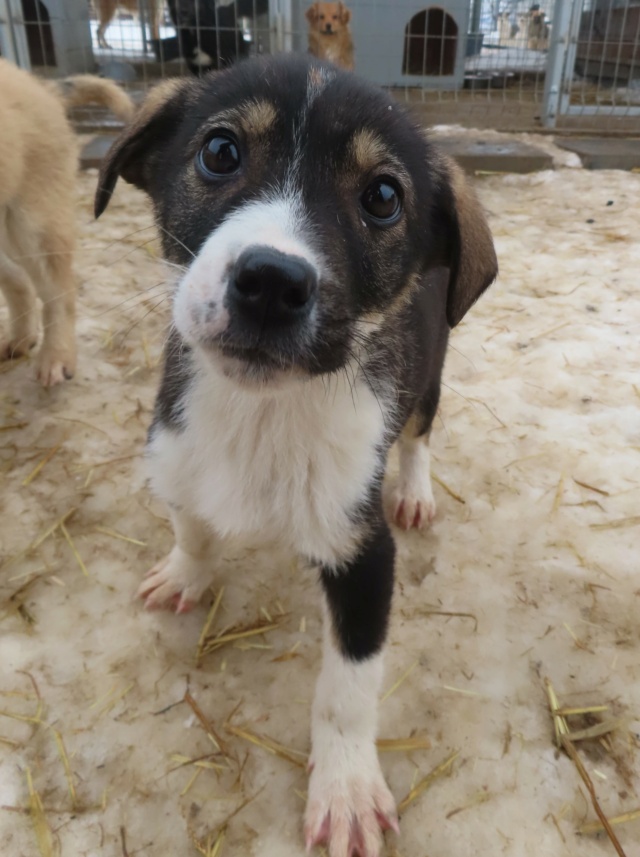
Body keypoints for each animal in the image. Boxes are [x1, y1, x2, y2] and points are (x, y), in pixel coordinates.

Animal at [0, 62, 132, 388]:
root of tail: (41, 86)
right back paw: (21, 339)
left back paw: (56, 357)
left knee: (58, 291)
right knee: (19, 279)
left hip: (34, 222)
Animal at [95, 55, 498, 856]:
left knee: (419, 435)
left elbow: (347, 689)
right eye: (220, 152)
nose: (271, 283)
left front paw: (344, 788)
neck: (262, 415)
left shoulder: (363, 553)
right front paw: (184, 572)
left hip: (427, 382)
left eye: (382, 198)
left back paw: (415, 490)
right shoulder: (177, 454)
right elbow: (192, 524)